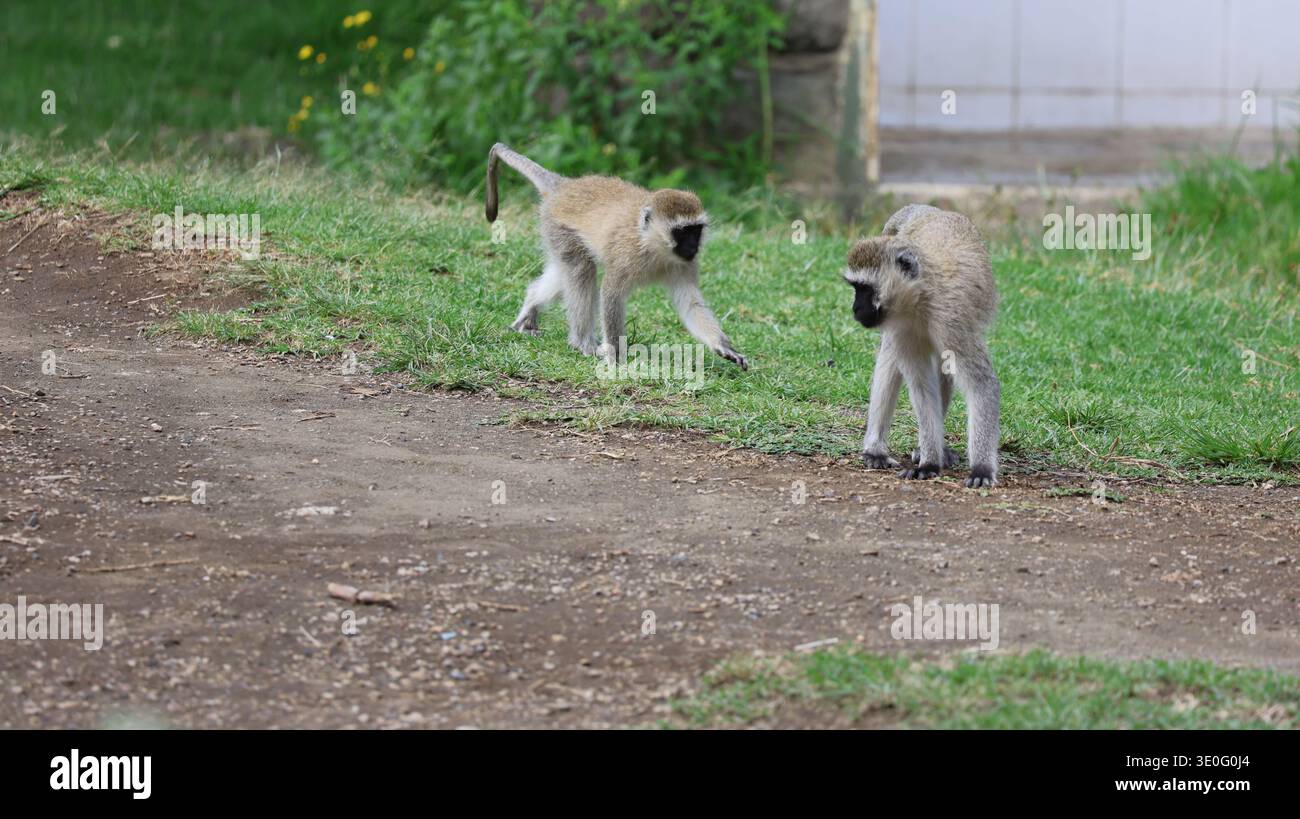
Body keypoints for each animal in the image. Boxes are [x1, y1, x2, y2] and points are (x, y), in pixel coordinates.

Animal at [485, 143, 747, 370]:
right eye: (682, 232)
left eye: (696, 230)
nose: (693, 246)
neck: (654, 246)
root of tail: (564, 187)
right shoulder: (625, 255)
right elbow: (611, 294)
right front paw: (615, 357)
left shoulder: (685, 264)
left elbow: (690, 303)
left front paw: (723, 346)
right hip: (557, 228)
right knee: (581, 270)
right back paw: (583, 343)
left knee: (567, 273)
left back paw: (530, 308)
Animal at [843, 204, 1000, 488]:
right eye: (855, 288)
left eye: (865, 289)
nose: (855, 309)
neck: (921, 298)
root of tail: (927, 209)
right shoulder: (899, 326)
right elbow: (921, 387)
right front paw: (929, 462)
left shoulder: (953, 320)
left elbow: (980, 383)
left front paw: (981, 468)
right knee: (891, 357)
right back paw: (876, 449)